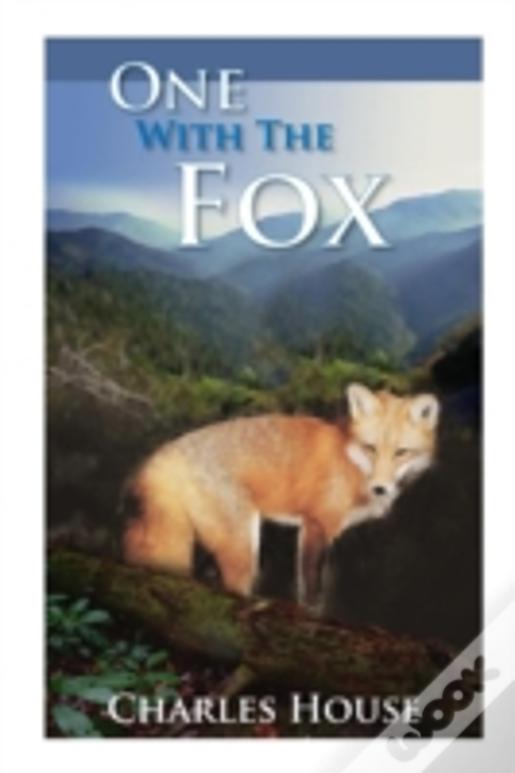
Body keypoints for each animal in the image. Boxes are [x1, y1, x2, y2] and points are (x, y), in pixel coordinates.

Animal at [122, 383, 439, 605]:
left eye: (401, 452)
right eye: (371, 448)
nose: (380, 488)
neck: (351, 460)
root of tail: (166, 452)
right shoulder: (316, 525)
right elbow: (311, 590)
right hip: (242, 547)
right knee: (232, 588)